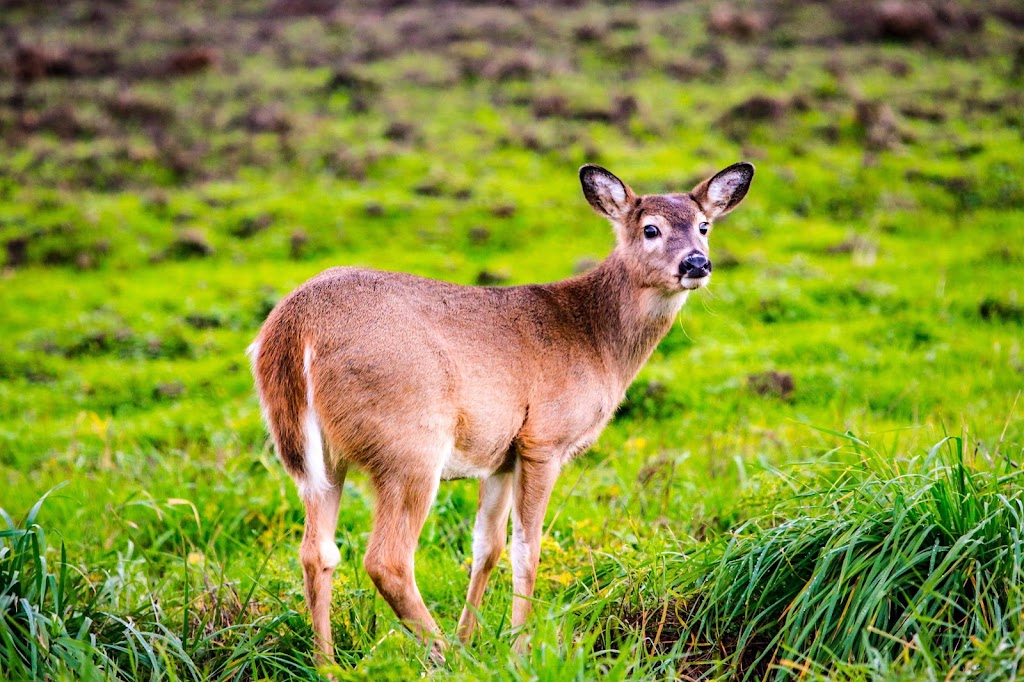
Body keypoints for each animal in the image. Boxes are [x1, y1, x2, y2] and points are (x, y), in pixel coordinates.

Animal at [249, 160, 753, 663]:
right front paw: (519, 649)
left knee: (317, 551)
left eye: (704, 226)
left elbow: (485, 547)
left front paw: (472, 638)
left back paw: (330, 664)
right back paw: (442, 658)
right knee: (386, 559)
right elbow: (527, 549)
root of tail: (292, 329)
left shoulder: (500, 456)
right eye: (650, 228)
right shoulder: (543, 439)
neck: (595, 339)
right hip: (409, 442)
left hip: (321, 457)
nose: (696, 263)